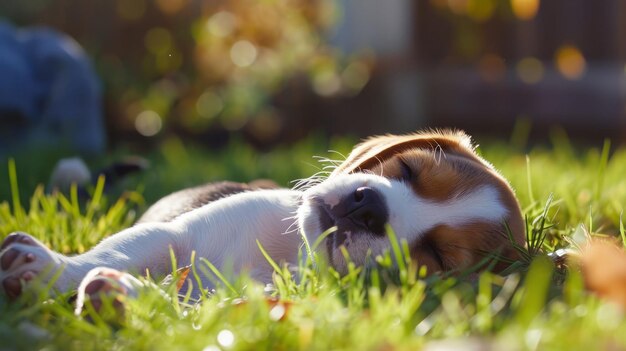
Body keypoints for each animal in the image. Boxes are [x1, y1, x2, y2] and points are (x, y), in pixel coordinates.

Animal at [0, 131, 524, 310]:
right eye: (408, 170)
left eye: (436, 256)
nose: (368, 207)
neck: (291, 253)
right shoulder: (175, 233)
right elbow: (116, 252)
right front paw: (46, 270)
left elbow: (185, 309)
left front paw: (123, 297)